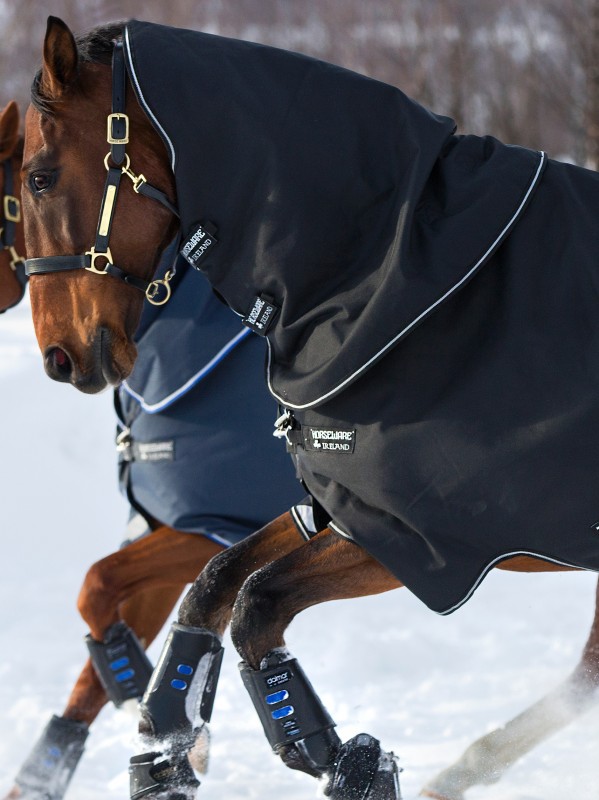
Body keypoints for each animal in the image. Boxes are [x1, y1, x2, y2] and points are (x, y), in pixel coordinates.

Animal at [18, 15, 599, 800]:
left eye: (39, 178)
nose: (59, 354)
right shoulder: (330, 505)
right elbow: (216, 586)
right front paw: (166, 745)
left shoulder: (419, 538)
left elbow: (258, 602)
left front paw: (351, 765)